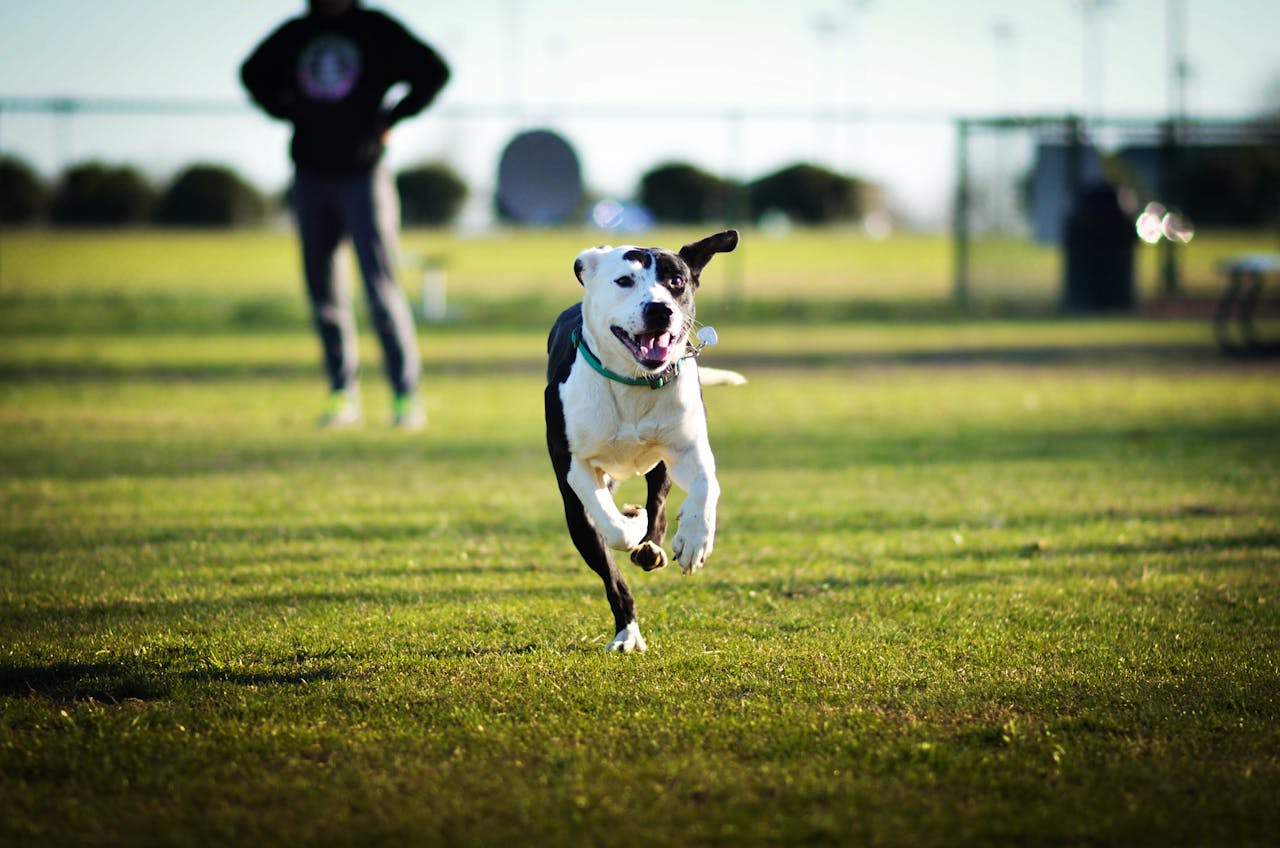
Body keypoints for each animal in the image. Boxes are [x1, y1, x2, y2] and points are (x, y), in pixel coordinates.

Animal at [542, 229, 742, 653]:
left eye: (677, 281)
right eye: (624, 280)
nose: (660, 309)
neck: (633, 382)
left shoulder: (687, 448)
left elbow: (706, 486)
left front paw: (695, 539)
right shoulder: (576, 466)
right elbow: (612, 528)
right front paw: (630, 524)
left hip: (660, 465)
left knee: (660, 504)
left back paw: (653, 544)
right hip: (577, 514)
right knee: (608, 561)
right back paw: (627, 631)